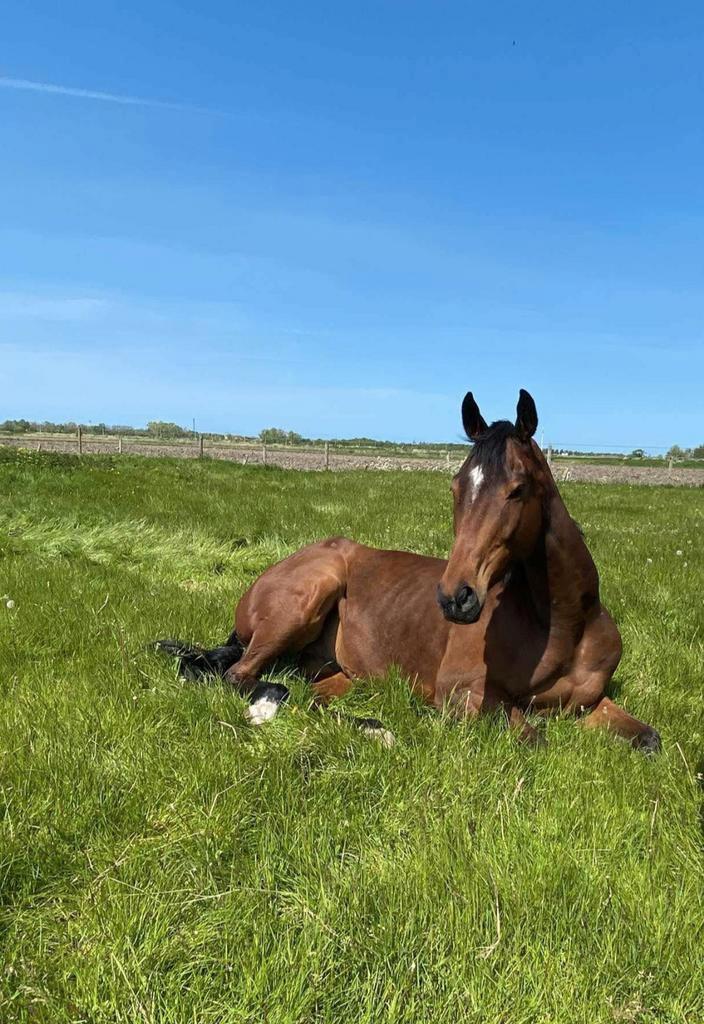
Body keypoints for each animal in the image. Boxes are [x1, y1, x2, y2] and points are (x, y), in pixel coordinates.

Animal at [158, 389, 660, 753]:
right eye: (456, 487)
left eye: (518, 489)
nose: (456, 598)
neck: (564, 629)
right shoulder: (466, 696)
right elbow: (534, 740)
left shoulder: (591, 703)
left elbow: (649, 739)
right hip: (304, 602)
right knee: (243, 678)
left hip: (335, 671)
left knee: (309, 695)